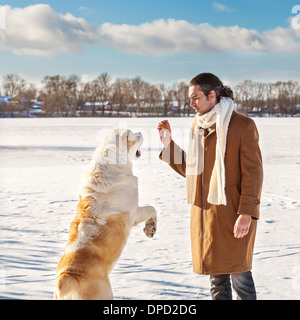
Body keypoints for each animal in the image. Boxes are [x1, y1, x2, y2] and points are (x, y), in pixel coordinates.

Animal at [54, 129, 157, 298]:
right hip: (105, 292)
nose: (140, 132)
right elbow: (152, 209)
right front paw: (150, 228)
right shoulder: (135, 213)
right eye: (130, 135)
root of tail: (68, 276)